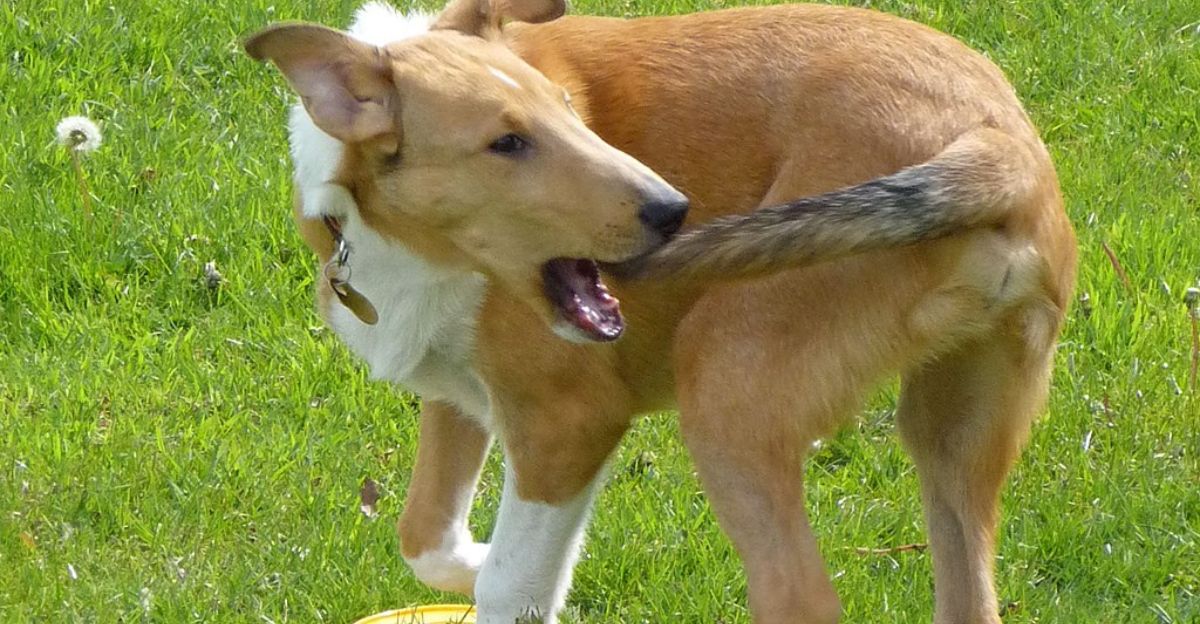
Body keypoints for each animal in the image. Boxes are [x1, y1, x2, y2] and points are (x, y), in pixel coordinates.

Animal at [244, 0, 1076, 621]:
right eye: (506, 142)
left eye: (570, 112)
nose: (673, 212)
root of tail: (999, 144)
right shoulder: (461, 394)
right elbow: (426, 533)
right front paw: (476, 560)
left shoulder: (567, 423)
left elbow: (510, 584)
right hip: (956, 428)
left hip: (727, 390)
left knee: (801, 597)